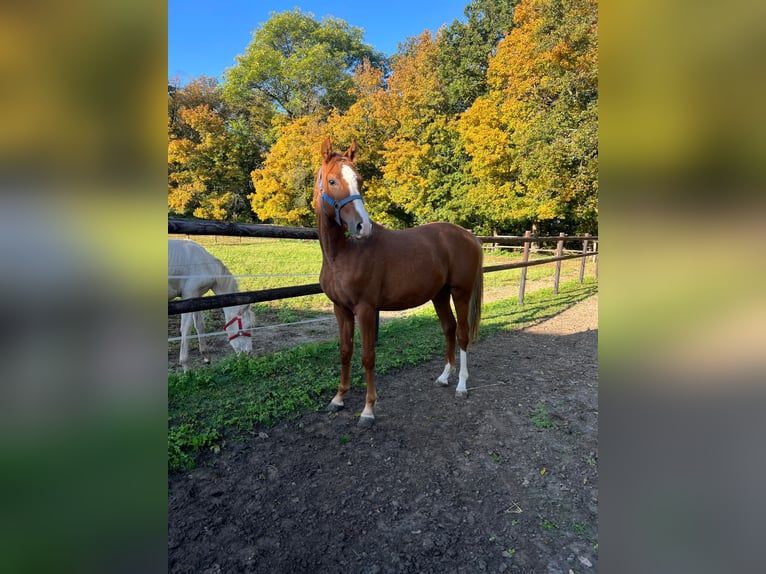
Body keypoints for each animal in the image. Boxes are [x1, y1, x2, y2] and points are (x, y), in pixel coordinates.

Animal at [168, 240, 255, 372]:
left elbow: (199, 325)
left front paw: (206, 356)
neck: (204, 264)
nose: (249, 353)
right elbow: (186, 329)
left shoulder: (196, 297)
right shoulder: (188, 296)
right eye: (247, 326)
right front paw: (186, 367)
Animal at [316, 140, 484, 428]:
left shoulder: (366, 309)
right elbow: (345, 351)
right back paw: (444, 377)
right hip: (439, 295)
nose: (363, 226)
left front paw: (368, 410)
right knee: (449, 329)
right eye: (332, 181)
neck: (342, 254)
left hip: (460, 293)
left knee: (462, 334)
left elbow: (368, 357)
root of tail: (468, 235)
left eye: (359, 180)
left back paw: (461, 385)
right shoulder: (341, 309)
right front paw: (338, 399)